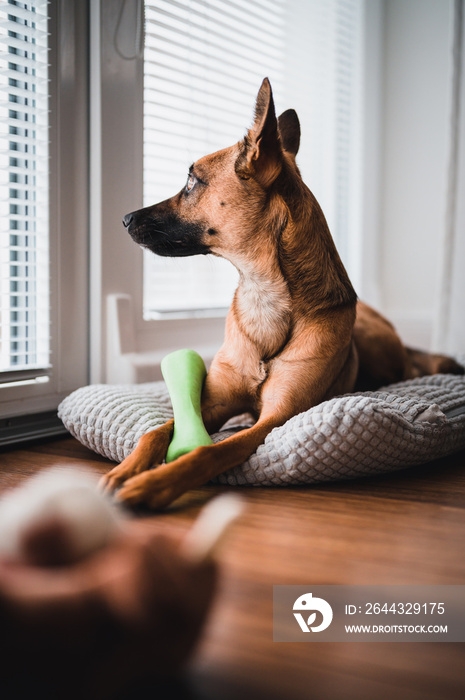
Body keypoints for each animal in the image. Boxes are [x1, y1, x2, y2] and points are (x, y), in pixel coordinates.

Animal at [100, 79, 460, 508]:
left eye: (192, 182)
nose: (124, 219)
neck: (264, 293)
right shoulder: (212, 404)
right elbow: (156, 431)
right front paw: (126, 469)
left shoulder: (274, 418)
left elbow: (208, 451)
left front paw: (153, 485)